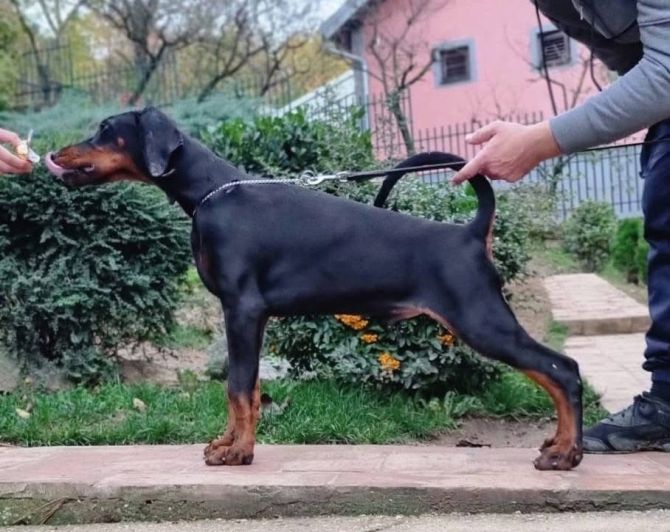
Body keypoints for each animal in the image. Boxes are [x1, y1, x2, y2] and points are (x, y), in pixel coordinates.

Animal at [45, 107, 583, 470]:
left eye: (105, 129)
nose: (53, 152)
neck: (211, 193)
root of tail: (469, 233)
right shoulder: (247, 317)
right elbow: (246, 386)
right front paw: (228, 443)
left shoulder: (242, 309)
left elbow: (238, 386)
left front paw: (238, 453)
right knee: (557, 371)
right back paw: (561, 447)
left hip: (479, 317)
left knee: (562, 369)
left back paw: (565, 453)